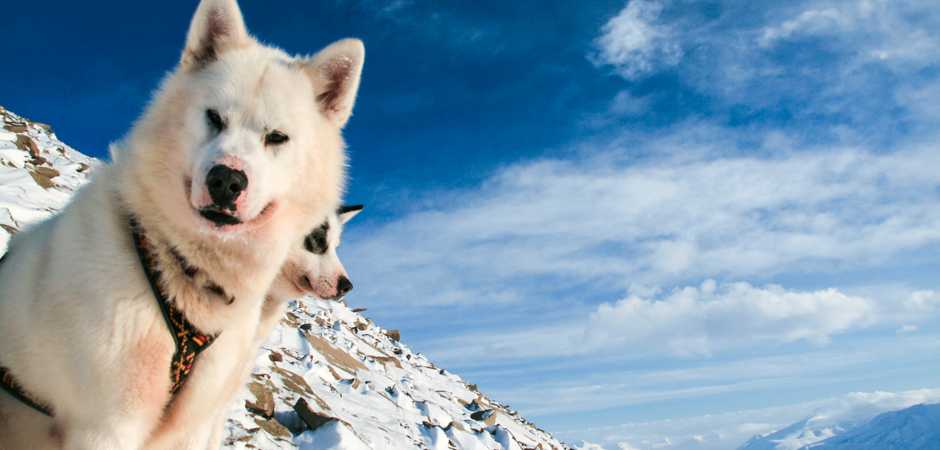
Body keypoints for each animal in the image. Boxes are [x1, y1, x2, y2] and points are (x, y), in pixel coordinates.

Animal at [0, 0, 364, 446]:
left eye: (277, 137)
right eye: (214, 117)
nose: (226, 180)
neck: (183, 268)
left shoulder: (199, 417)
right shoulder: (108, 425)